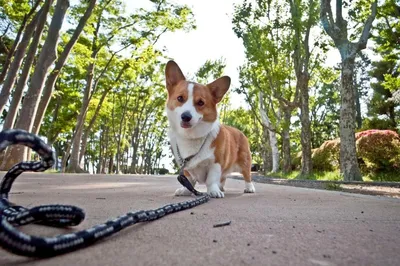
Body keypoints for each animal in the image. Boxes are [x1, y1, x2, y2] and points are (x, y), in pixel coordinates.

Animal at [164, 60, 255, 197]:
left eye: (201, 102)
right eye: (180, 98)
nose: (186, 116)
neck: (191, 136)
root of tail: (239, 131)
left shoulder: (216, 163)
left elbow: (211, 179)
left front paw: (214, 191)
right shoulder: (186, 166)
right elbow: (189, 179)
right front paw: (185, 190)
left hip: (244, 161)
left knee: (247, 175)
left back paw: (249, 188)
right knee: (223, 177)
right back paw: (221, 187)